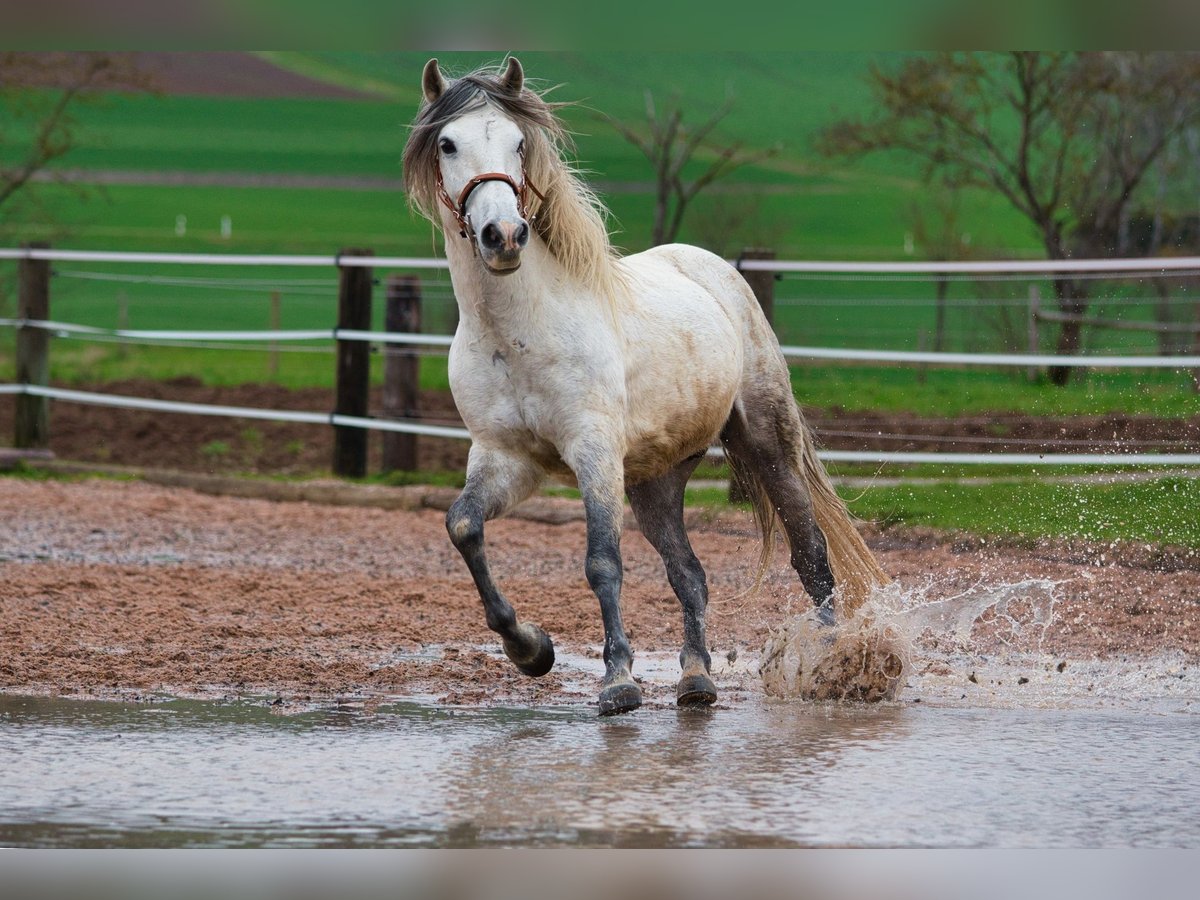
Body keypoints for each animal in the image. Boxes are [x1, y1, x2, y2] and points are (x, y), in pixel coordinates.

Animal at [408, 58, 888, 720]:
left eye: (519, 143)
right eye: (448, 144)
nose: (503, 235)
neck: (518, 333)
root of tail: (720, 273)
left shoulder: (593, 453)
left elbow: (602, 563)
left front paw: (617, 682)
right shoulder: (505, 458)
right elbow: (463, 527)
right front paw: (531, 650)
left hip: (767, 442)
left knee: (811, 555)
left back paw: (826, 662)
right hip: (655, 482)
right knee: (690, 574)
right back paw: (695, 679)